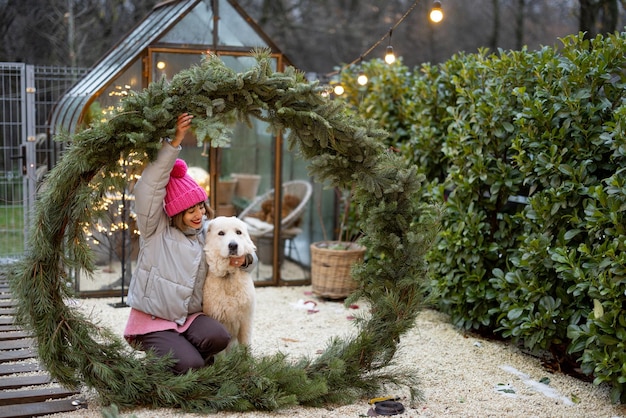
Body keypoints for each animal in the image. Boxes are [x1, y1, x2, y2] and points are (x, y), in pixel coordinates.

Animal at [202, 216, 256, 350]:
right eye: (221, 233)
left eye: (238, 232)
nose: (233, 245)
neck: (228, 274)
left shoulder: (246, 321)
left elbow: (246, 347)